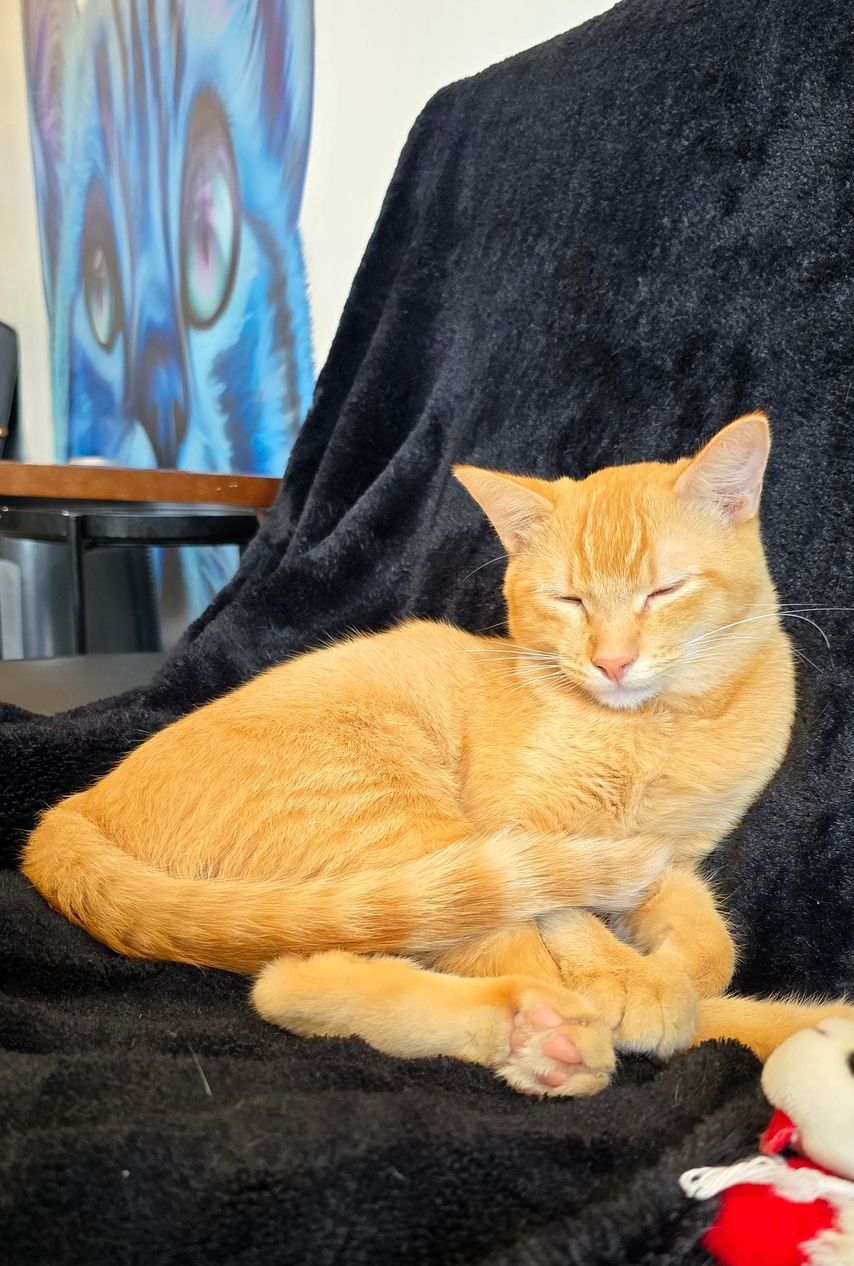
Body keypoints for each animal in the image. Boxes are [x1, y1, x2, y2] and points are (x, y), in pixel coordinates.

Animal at [21, 415, 854, 1098]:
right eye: (568, 601)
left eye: (664, 590)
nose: (613, 661)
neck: (656, 728)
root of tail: (72, 811)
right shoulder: (527, 828)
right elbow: (571, 918)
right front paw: (630, 978)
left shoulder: (672, 854)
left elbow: (709, 942)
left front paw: (668, 965)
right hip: (396, 824)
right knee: (496, 960)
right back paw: (559, 1035)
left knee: (299, 977)